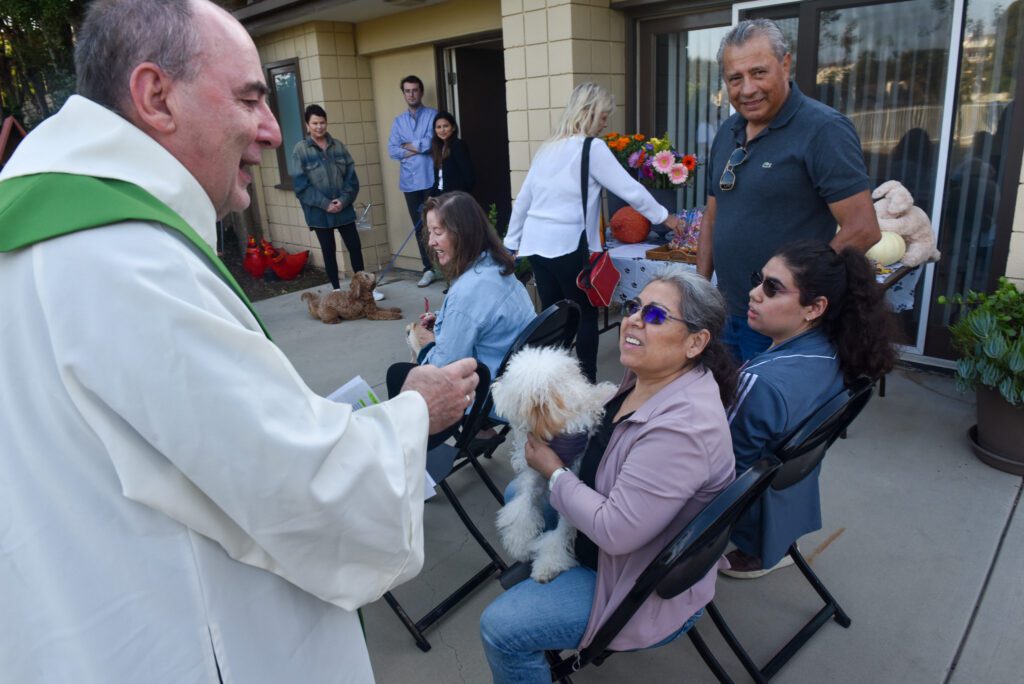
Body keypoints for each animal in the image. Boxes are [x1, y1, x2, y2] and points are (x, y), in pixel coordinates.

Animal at [489, 348, 614, 581]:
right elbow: (523, 509)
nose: (494, 385)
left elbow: (561, 531)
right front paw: (520, 545)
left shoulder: (569, 492)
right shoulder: (533, 476)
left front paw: (547, 565)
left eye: (509, 383)